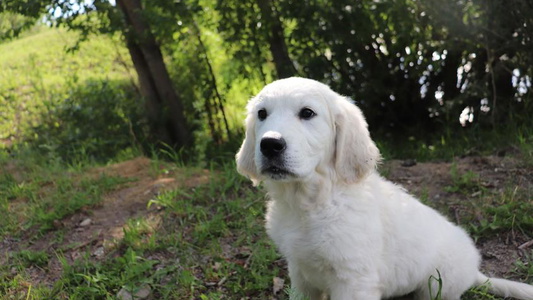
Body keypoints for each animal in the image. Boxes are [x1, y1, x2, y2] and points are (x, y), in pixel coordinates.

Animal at [237, 77, 532, 300]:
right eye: (262, 114)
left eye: (307, 113)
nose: (270, 144)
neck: (312, 201)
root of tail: (474, 272)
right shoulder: (300, 274)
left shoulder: (353, 280)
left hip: (436, 284)